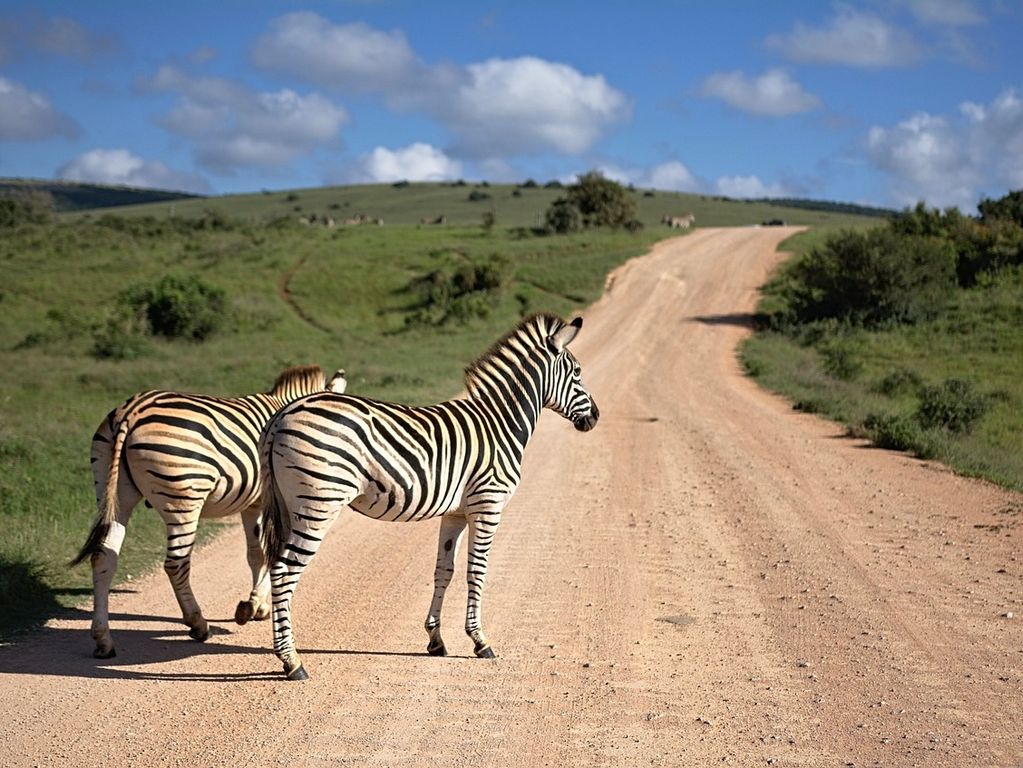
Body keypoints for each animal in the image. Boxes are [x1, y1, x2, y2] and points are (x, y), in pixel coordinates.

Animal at [71, 366, 347, 662]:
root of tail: (131, 411)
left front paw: (255, 606)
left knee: (103, 557)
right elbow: (270, 553)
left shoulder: (253, 504)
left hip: (114, 491)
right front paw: (255, 605)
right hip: (183, 497)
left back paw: (103, 640)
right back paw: (198, 623)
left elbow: (256, 554)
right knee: (176, 564)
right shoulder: (272, 501)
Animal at [257, 312, 597, 679]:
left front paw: (436, 640)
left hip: (290, 505)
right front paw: (480, 641)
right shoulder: (488, 505)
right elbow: (477, 570)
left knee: (277, 566)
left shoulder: (456, 512)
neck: (500, 424)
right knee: (284, 571)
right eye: (578, 373)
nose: (595, 417)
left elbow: (444, 570)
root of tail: (281, 415)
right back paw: (292, 661)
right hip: (319, 504)